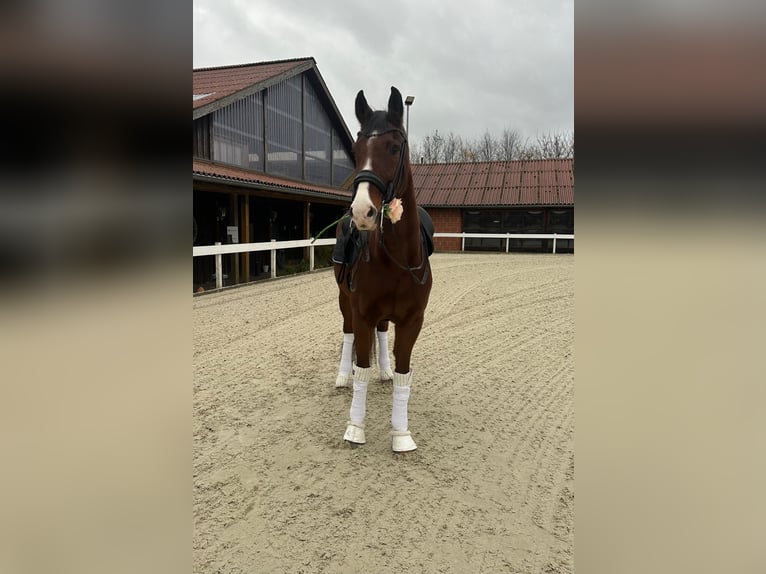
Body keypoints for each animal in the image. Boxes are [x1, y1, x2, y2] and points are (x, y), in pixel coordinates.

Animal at [332, 86, 436, 454]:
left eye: (393, 147)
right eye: (357, 150)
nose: (362, 211)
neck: (395, 259)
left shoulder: (412, 320)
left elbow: (405, 374)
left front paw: (401, 433)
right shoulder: (361, 312)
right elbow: (360, 366)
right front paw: (355, 427)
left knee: (381, 332)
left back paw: (385, 371)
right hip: (344, 302)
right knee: (348, 335)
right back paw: (342, 376)